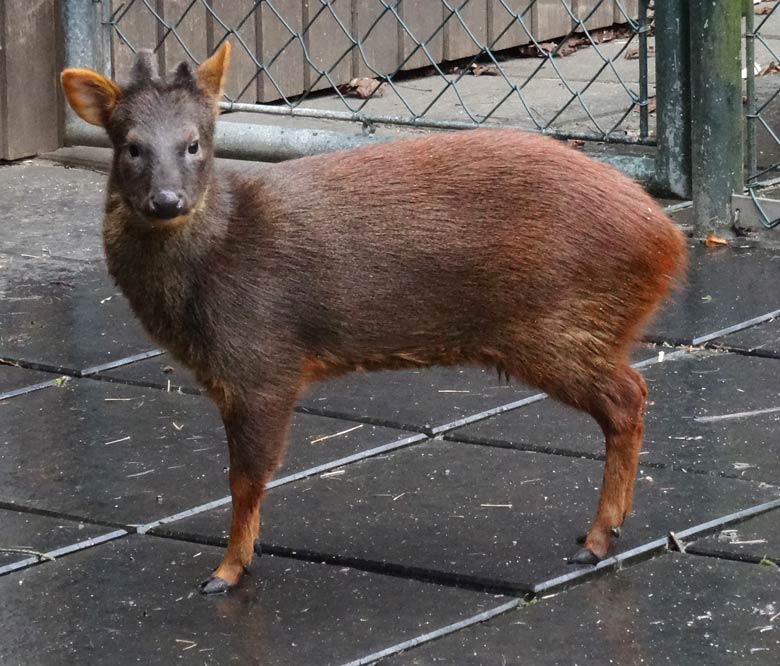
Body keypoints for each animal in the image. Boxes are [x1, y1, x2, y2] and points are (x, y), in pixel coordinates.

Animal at [62, 41, 688, 592]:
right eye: (130, 146)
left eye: (194, 144)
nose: (166, 201)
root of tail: (668, 238)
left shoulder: (263, 362)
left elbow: (246, 480)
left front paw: (226, 572)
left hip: (560, 325)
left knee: (629, 397)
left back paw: (597, 538)